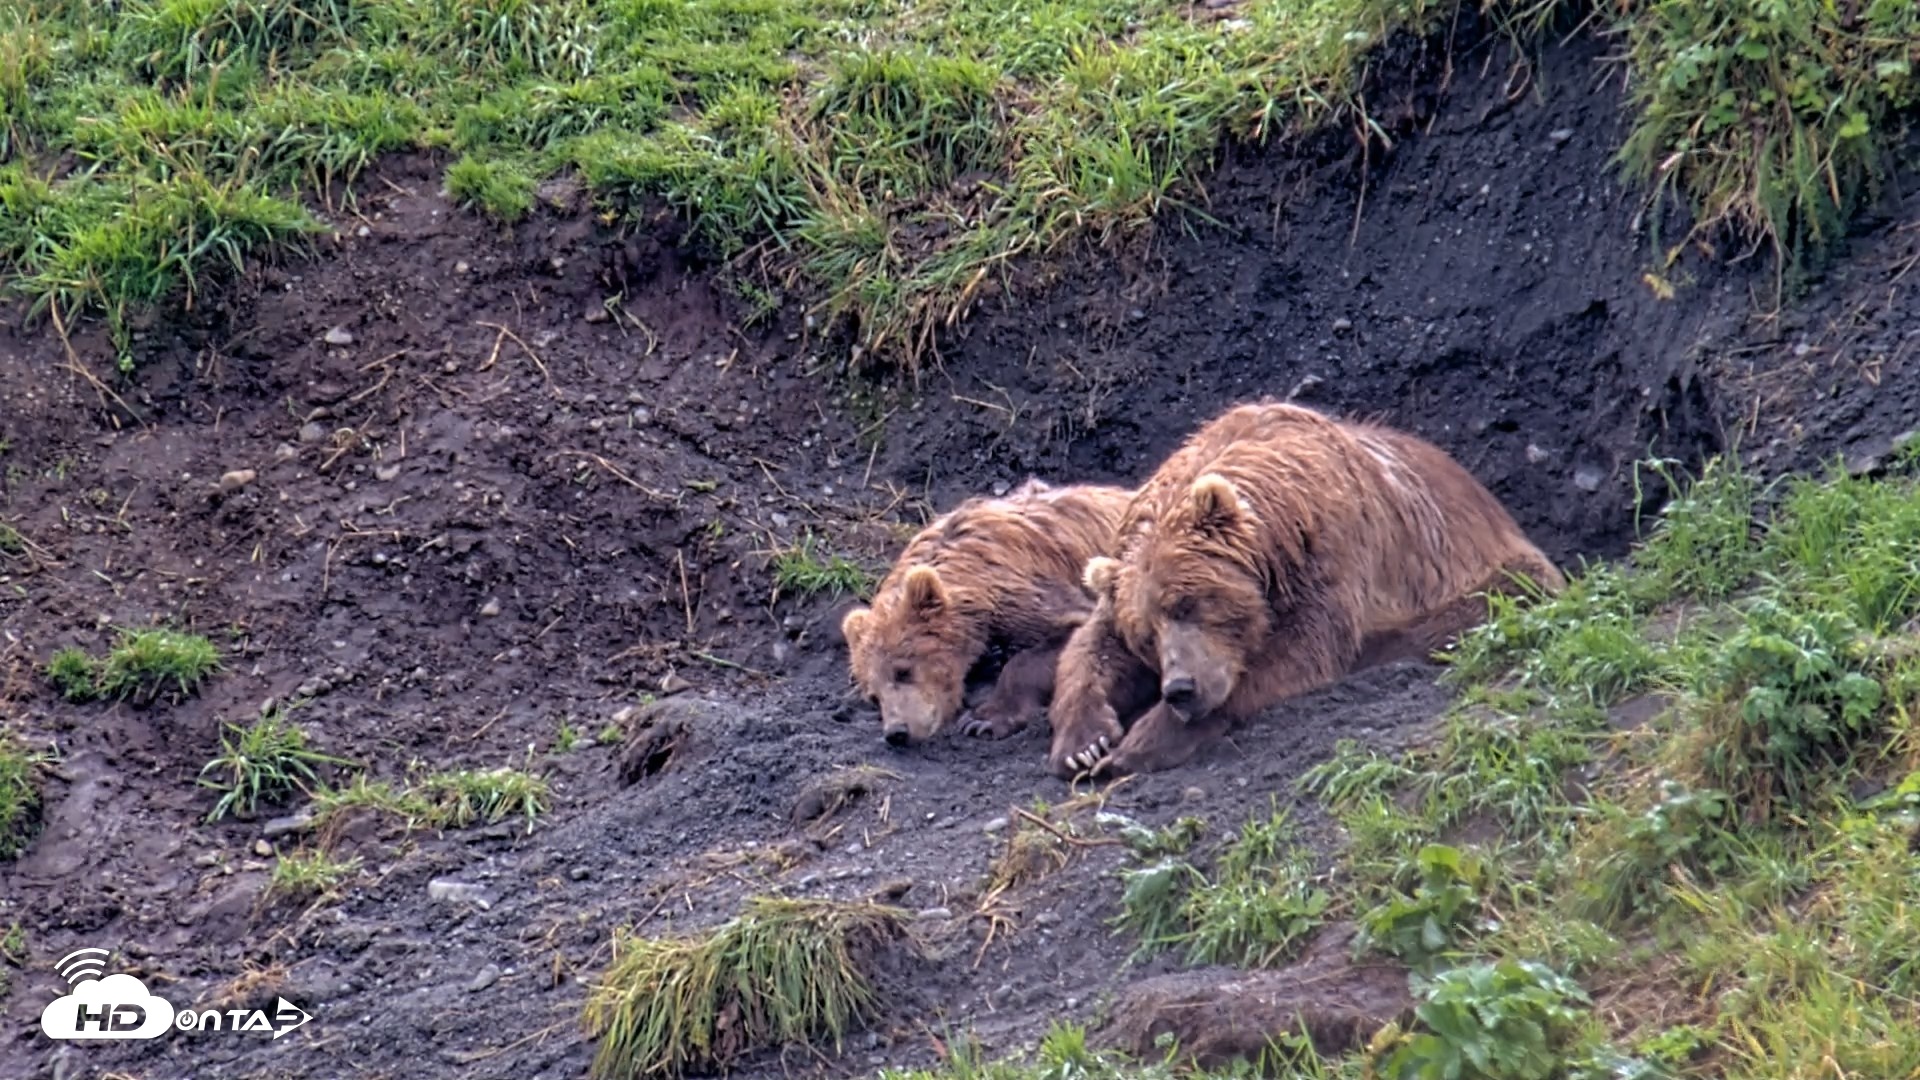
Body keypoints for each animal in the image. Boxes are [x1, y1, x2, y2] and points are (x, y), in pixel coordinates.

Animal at [841, 478, 1133, 748]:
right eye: (873, 696)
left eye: (903, 671)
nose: (897, 732)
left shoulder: (1029, 590)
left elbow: (1067, 633)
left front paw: (982, 720)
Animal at [1045, 400, 1566, 779]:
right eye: (1146, 634)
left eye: (1188, 604)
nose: (1179, 689)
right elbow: (1090, 645)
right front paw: (1084, 742)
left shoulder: (1329, 552)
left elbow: (1298, 652)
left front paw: (1137, 744)